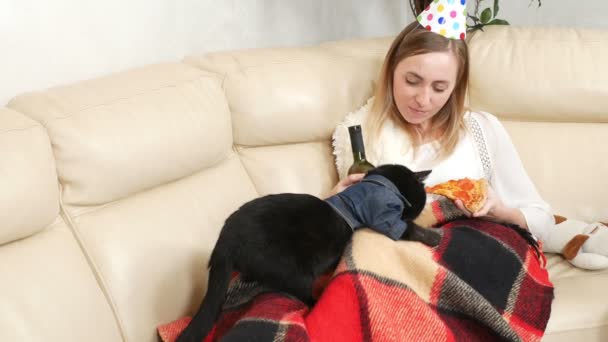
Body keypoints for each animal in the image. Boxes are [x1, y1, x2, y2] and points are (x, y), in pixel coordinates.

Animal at [175, 164, 436, 340]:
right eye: (419, 203)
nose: (415, 211)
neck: (381, 183)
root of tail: (224, 242)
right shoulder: (383, 217)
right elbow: (406, 229)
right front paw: (433, 237)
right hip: (294, 270)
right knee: (303, 296)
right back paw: (319, 297)